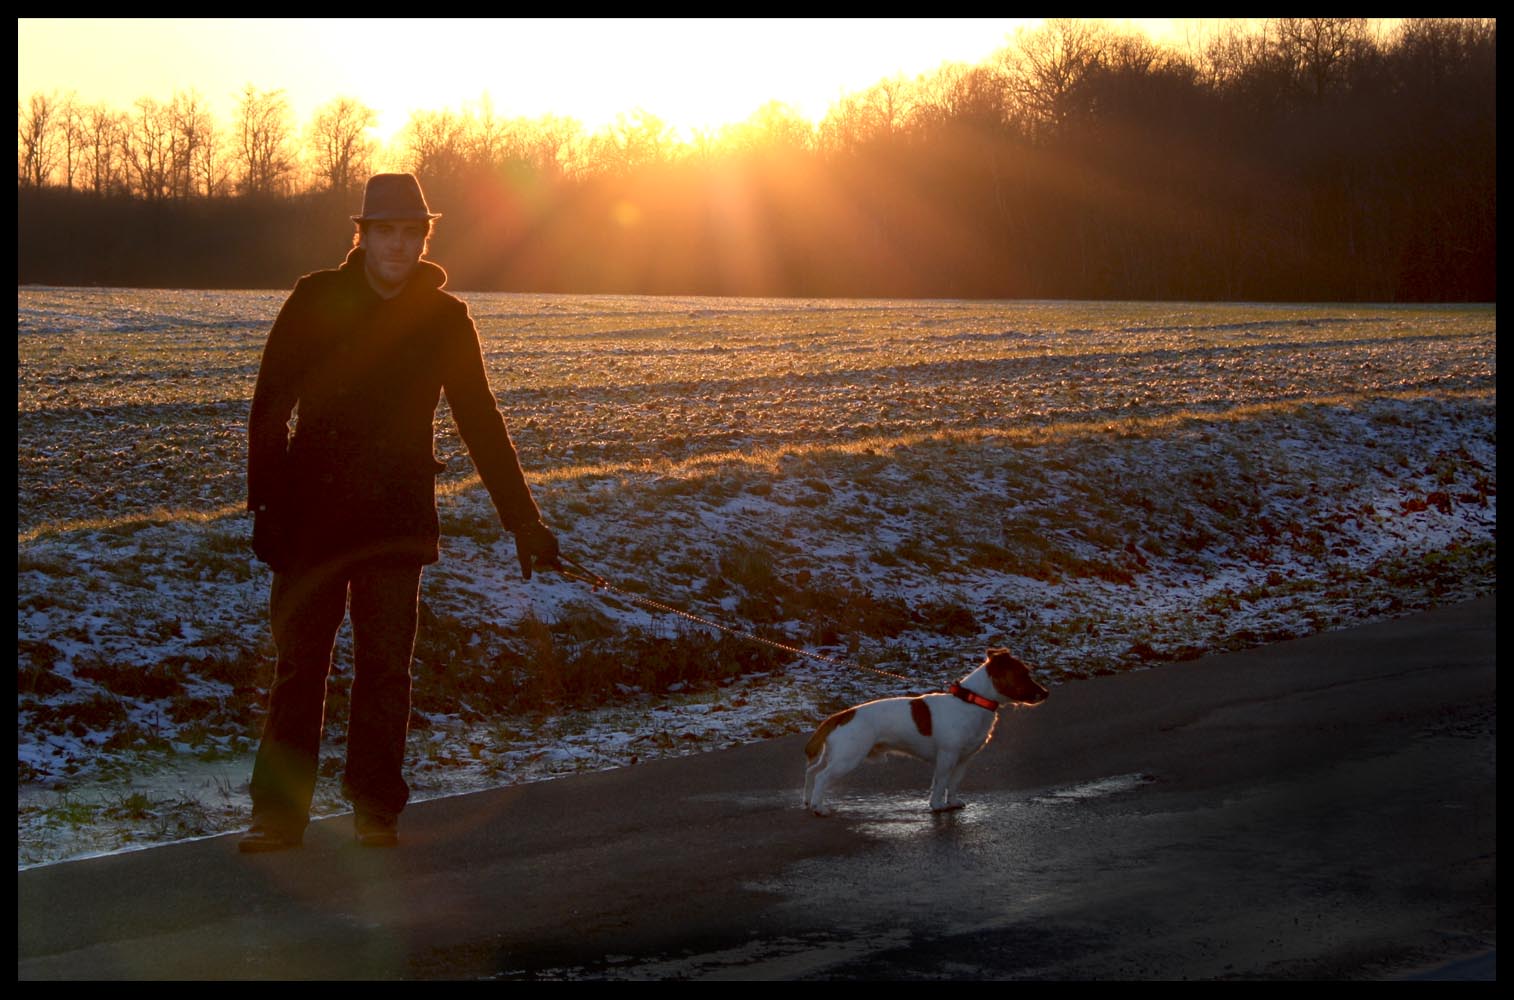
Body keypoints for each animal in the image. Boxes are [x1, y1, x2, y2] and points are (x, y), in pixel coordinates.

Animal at [799, 647, 1047, 810]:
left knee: (812, 771)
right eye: (1023, 675)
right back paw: (819, 807)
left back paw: (808, 800)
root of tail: (842, 715)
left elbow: (953, 783)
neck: (972, 700)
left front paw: (952, 802)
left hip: (834, 754)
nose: (1046, 693)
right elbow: (940, 782)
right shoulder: (947, 756)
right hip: (848, 757)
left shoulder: (964, 759)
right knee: (822, 776)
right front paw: (937, 805)